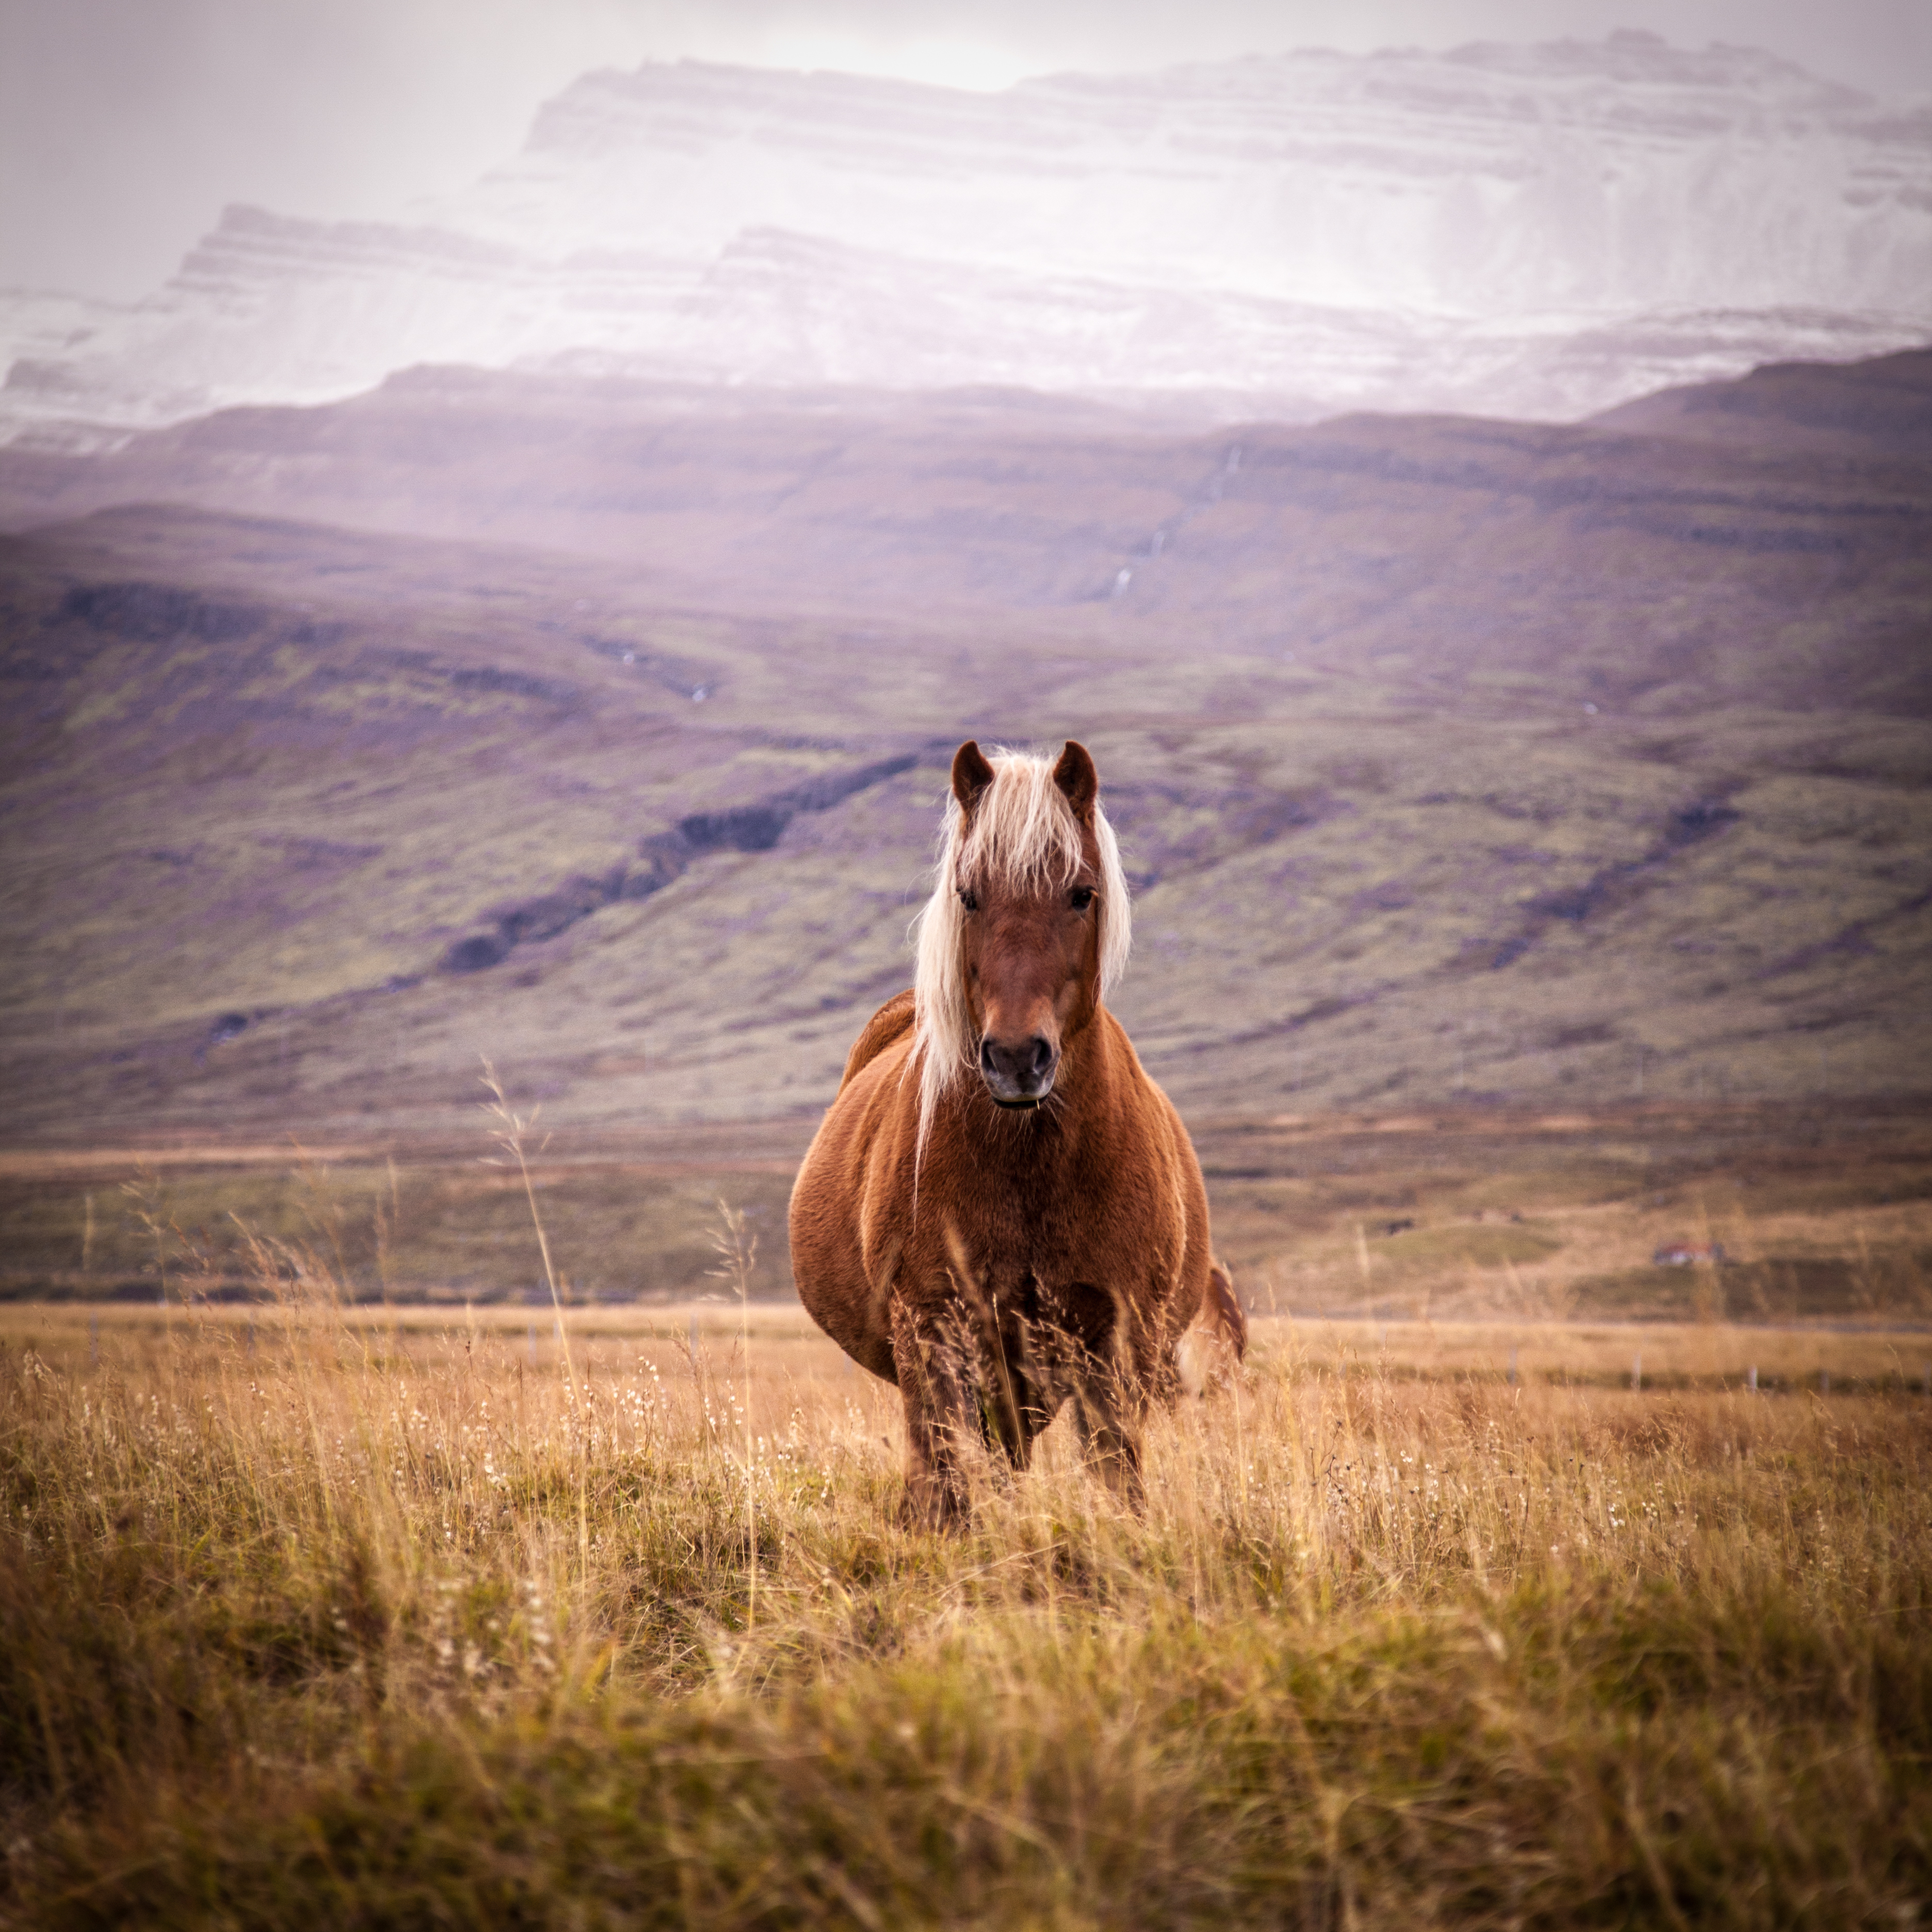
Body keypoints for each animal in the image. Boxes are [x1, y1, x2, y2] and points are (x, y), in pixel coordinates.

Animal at [788, 734, 1252, 1522]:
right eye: (970, 895)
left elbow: (1118, 1480)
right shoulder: (936, 1331)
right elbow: (945, 1492)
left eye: (1081, 894)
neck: (1032, 1164)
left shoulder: (1114, 1343)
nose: (1013, 1058)